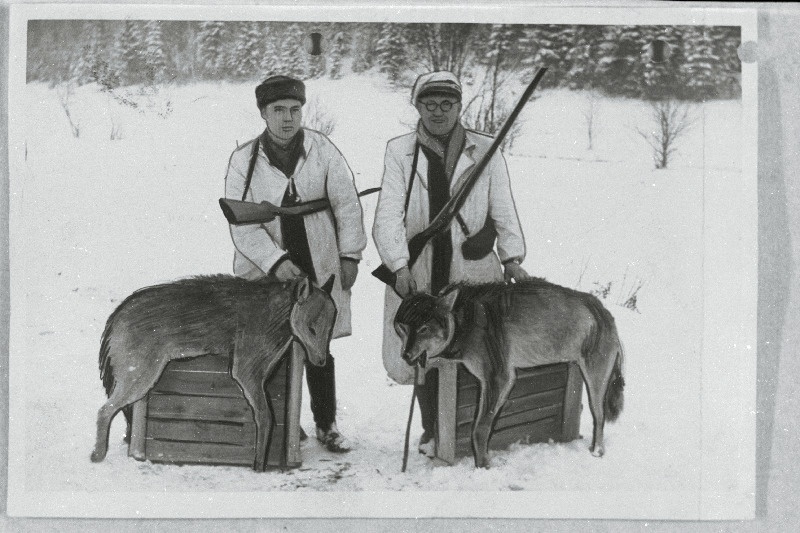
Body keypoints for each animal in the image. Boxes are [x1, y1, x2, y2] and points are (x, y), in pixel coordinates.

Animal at [394, 276, 624, 468]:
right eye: (402, 328)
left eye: (424, 329)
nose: (404, 355)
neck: (462, 321)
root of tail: (601, 309)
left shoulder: (499, 379)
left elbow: (479, 429)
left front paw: (483, 466)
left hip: (595, 382)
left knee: (599, 415)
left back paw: (597, 450)